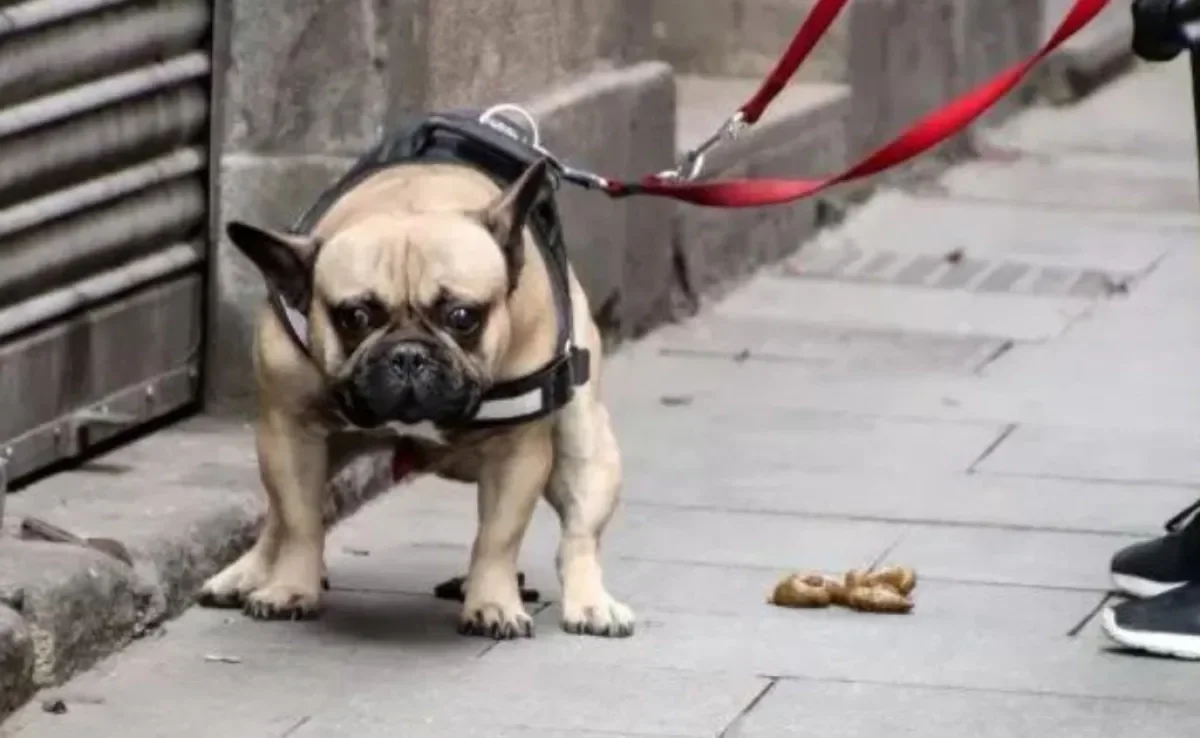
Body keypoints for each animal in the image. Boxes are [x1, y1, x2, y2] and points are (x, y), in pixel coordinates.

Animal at [196, 118, 633, 638]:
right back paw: (248, 573)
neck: (418, 199)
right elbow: (300, 521)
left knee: (579, 534)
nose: (408, 355)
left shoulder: (517, 450)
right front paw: (289, 588)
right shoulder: (290, 429)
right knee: (279, 519)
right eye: (355, 317)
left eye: (463, 317)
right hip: (319, 445)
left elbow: (498, 538)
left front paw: (493, 602)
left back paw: (591, 605)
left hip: (585, 441)